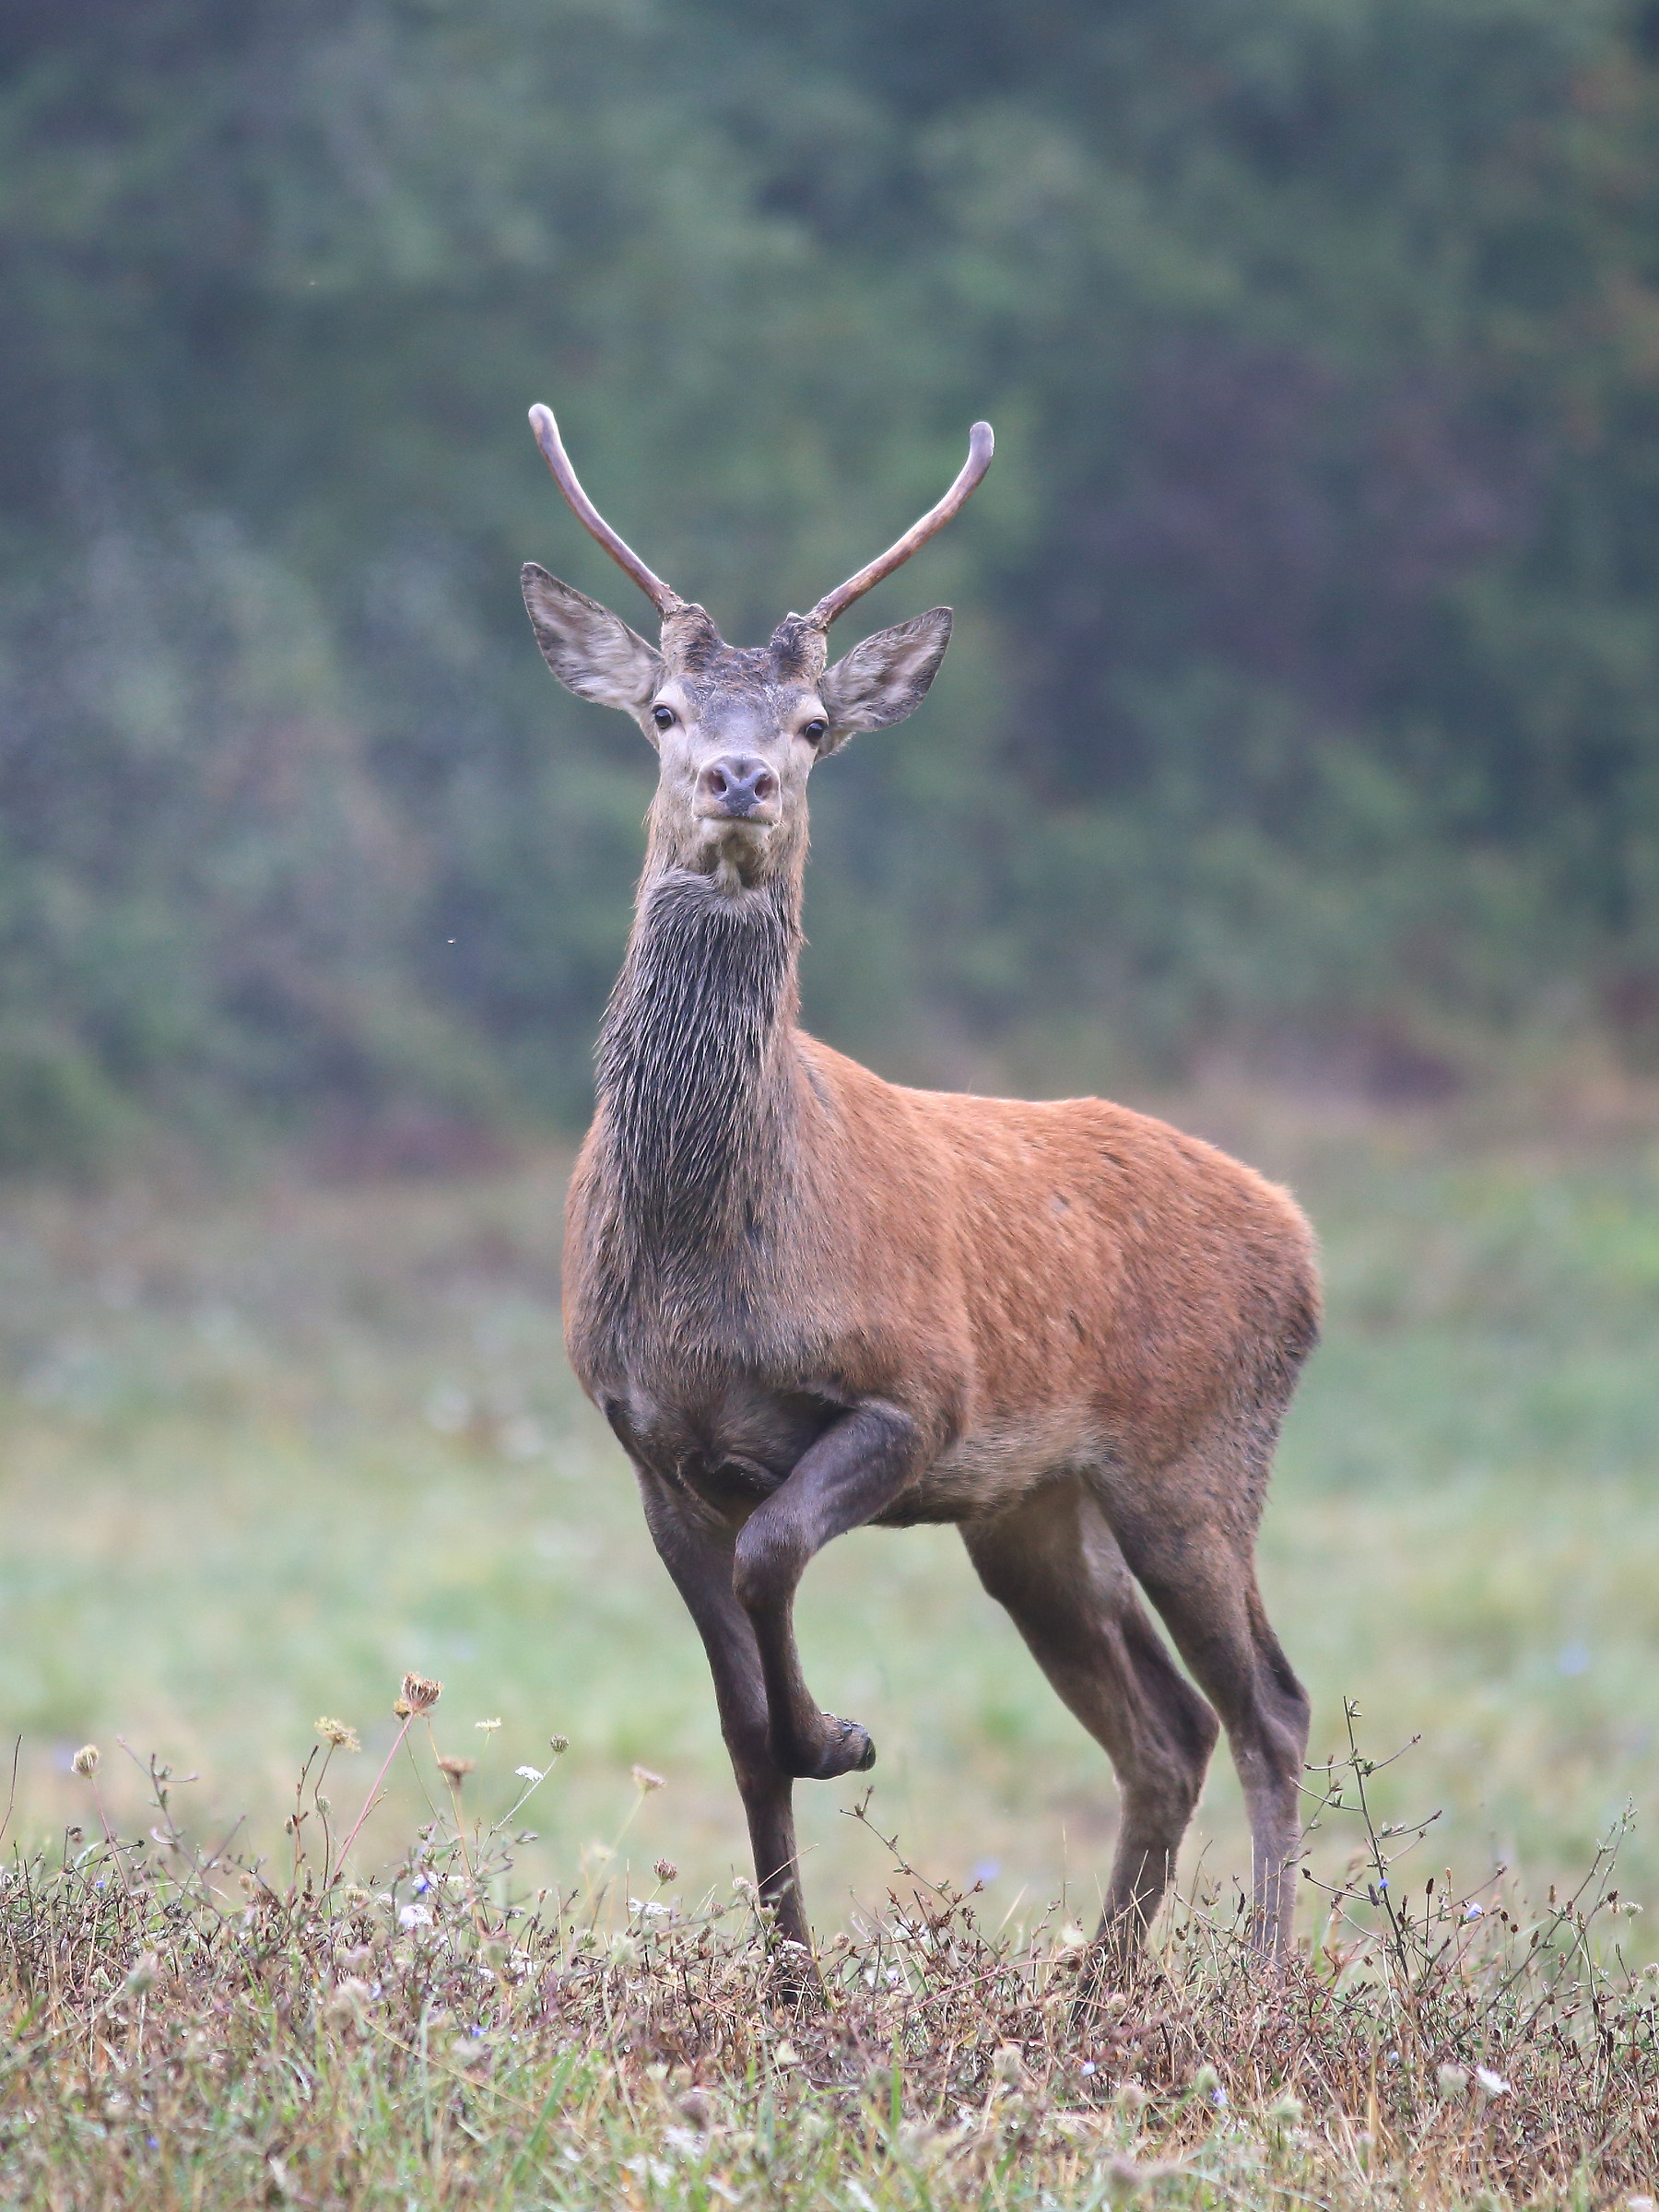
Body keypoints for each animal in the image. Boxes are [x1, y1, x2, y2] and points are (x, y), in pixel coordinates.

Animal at [520, 403, 1320, 1987]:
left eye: (814, 725)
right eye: (663, 713)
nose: (743, 782)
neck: (708, 1261)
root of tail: (1305, 1239)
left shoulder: (918, 1395)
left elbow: (776, 1566)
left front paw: (839, 1733)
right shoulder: (650, 1449)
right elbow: (735, 1727)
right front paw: (793, 1980)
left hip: (1194, 1459)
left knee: (1267, 1702)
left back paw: (1260, 1986)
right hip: (1040, 1513)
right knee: (1166, 1728)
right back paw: (1099, 1988)